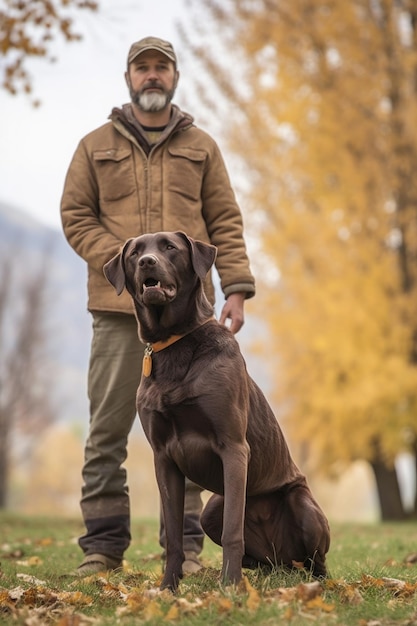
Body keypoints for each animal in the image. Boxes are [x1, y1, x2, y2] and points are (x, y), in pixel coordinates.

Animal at [103, 230, 328, 588]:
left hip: (302, 505)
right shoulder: (163, 458)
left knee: (316, 562)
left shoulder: (233, 447)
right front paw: (168, 588)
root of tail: (281, 559)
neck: (174, 342)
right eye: (135, 252)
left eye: (169, 247)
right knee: (261, 558)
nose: (146, 262)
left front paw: (231, 587)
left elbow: (233, 531)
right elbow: (175, 537)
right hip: (212, 511)